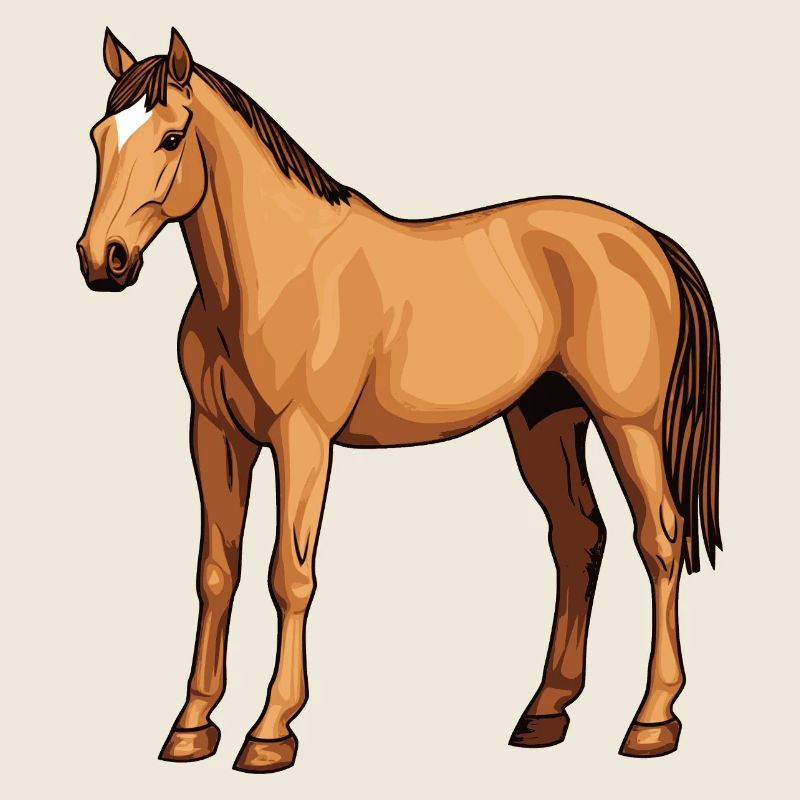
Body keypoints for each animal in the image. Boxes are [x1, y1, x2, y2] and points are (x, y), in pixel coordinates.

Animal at [77, 28, 721, 772]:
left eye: (172, 137)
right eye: (98, 137)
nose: (102, 259)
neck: (272, 273)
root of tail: (647, 241)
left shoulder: (303, 439)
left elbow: (288, 574)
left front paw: (271, 731)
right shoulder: (216, 435)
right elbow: (217, 572)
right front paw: (190, 727)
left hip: (629, 426)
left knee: (660, 540)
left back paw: (652, 720)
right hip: (545, 422)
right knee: (577, 537)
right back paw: (545, 712)